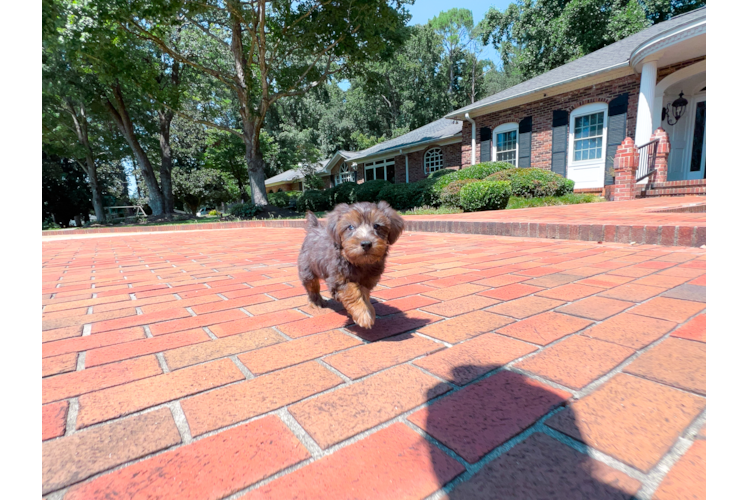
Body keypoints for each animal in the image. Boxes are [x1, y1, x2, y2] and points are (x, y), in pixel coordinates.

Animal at [296, 199, 404, 328]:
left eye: (377, 226)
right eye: (350, 227)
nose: (366, 243)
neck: (360, 263)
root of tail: (314, 228)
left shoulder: (367, 281)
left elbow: (363, 292)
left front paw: (366, 309)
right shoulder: (338, 280)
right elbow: (352, 291)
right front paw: (363, 314)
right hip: (307, 270)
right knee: (312, 287)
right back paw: (316, 302)